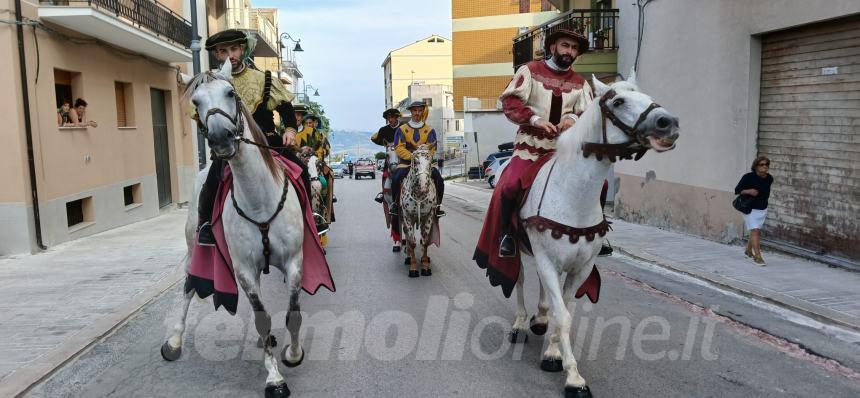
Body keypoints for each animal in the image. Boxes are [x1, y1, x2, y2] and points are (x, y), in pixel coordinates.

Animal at [163, 62, 308, 398]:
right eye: (196, 101)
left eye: (230, 93)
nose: (221, 138)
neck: (259, 200)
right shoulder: (243, 269)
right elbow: (262, 317)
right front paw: (274, 378)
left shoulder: (294, 261)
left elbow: (292, 313)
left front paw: (293, 354)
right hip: (194, 246)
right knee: (189, 286)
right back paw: (174, 341)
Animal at [508, 72, 676, 398]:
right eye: (619, 101)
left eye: (648, 96)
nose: (669, 122)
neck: (572, 192)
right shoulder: (546, 259)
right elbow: (563, 315)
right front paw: (573, 377)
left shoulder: (580, 267)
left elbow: (566, 310)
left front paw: (553, 354)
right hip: (519, 249)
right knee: (519, 280)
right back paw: (521, 323)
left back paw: (539, 318)